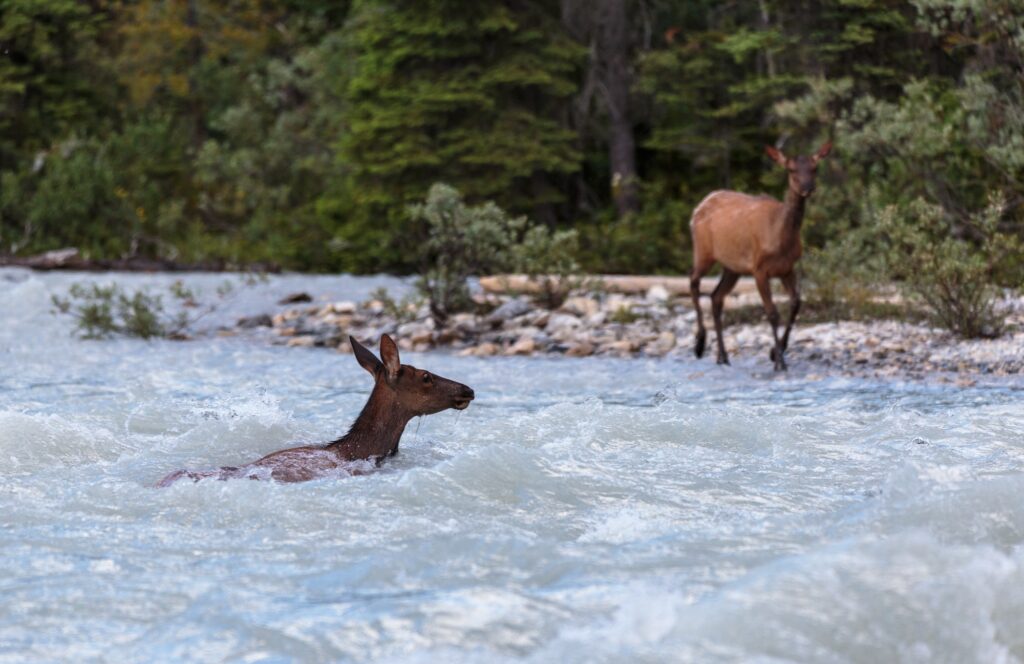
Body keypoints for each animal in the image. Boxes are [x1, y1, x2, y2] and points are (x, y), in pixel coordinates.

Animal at [689, 141, 832, 371]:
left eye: (814, 168)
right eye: (791, 169)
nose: (808, 187)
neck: (780, 238)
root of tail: (699, 205)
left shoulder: (787, 268)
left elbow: (795, 304)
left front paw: (775, 352)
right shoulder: (759, 269)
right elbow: (772, 312)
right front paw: (779, 361)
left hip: (733, 267)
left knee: (716, 296)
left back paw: (722, 356)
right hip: (703, 251)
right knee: (693, 282)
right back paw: (700, 344)